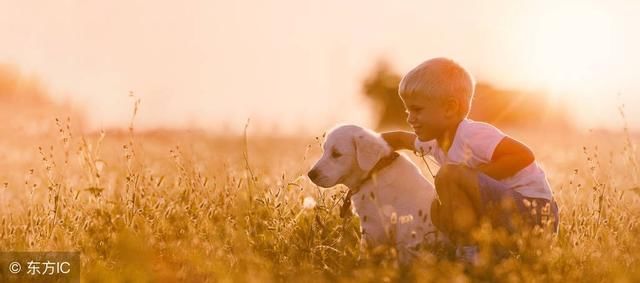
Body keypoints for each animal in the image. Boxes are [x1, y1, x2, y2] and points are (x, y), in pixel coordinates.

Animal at [308, 125, 442, 266]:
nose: (311, 174)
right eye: (324, 151)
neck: (374, 171)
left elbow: (365, 251)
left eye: (336, 154)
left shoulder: (373, 226)